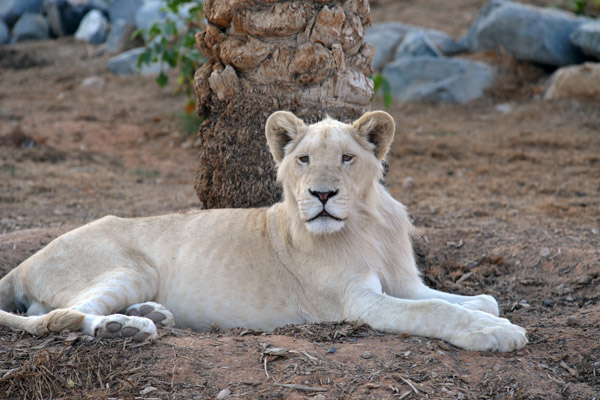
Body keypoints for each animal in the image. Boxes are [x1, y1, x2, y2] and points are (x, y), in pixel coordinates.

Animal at [0, 111, 524, 352]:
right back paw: (125, 327)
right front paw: (494, 334)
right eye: (304, 159)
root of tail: (24, 263)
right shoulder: (357, 303)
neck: (367, 222)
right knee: (58, 316)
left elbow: (477, 298)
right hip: (128, 267)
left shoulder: (405, 283)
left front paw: (491, 315)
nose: (322, 195)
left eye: (347, 158)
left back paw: (150, 314)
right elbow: (435, 310)